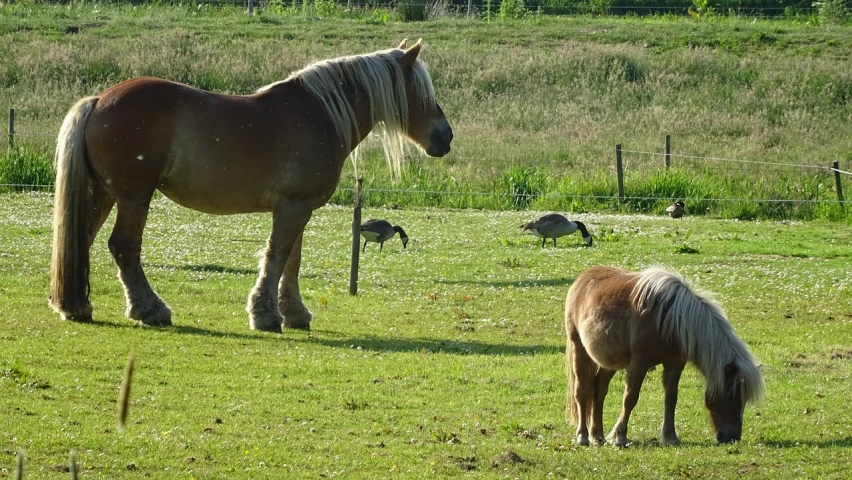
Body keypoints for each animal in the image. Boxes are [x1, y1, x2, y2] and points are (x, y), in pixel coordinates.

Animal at [48, 39, 452, 332]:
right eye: (420, 91)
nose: (445, 136)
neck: (320, 115)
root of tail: (99, 100)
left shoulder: (297, 207)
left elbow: (292, 261)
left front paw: (295, 313)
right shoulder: (292, 207)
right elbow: (277, 256)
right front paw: (266, 315)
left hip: (102, 194)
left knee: (81, 240)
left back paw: (76, 306)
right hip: (134, 197)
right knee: (123, 246)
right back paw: (150, 309)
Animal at [564, 266, 764, 446]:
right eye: (731, 395)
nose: (733, 437)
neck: (671, 319)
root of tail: (583, 278)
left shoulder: (675, 364)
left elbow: (671, 399)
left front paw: (670, 437)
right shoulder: (639, 363)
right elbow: (630, 398)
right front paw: (620, 436)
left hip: (610, 361)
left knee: (599, 389)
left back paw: (597, 436)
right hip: (579, 350)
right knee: (582, 392)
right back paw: (583, 437)